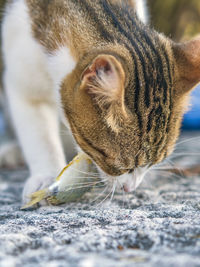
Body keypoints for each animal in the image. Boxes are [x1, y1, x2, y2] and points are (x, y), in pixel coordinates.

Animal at [1, 0, 200, 205]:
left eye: (155, 162)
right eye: (119, 166)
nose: (130, 188)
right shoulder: (22, 77)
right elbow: (41, 137)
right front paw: (45, 178)